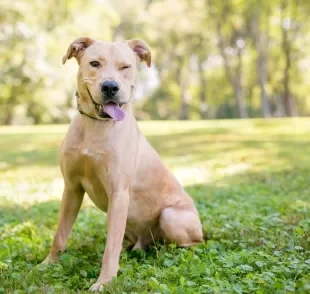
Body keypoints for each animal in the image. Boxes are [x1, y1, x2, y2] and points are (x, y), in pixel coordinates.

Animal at [43, 37, 203, 292]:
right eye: (95, 63)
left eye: (125, 67)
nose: (110, 87)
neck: (96, 126)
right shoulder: (71, 188)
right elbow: (60, 233)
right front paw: (48, 264)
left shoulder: (118, 193)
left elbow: (110, 249)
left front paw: (104, 282)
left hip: (170, 216)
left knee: (193, 242)